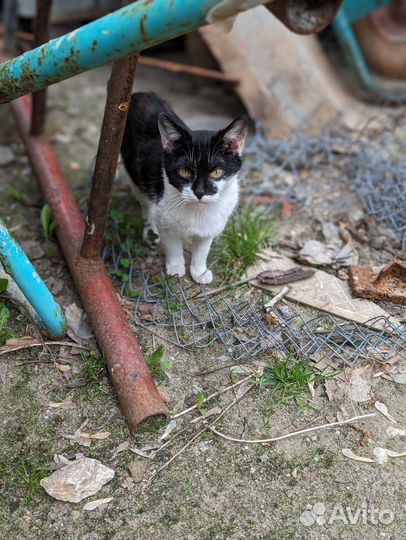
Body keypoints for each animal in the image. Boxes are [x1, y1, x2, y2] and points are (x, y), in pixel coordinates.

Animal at [120, 93, 247, 284]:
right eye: (184, 171)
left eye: (217, 172)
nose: (200, 192)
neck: (198, 209)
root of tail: (139, 94)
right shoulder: (166, 222)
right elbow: (172, 246)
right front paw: (175, 267)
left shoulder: (210, 227)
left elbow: (202, 249)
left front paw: (199, 271)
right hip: (134, 172)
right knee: (145, 202)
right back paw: (151, 229)